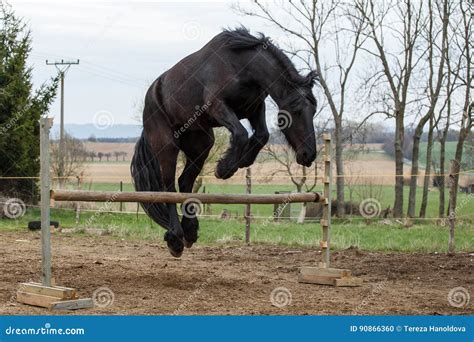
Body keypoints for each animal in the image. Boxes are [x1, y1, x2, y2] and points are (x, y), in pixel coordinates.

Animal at [131, 28, 316, 256]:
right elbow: (241, 133)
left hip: (201, 145)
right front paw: (224, 168)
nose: (309, 154)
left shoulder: (254, 107)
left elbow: (262, 135)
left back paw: (190, 230)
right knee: (169, 187)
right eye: (297, 111)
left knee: (185, 182)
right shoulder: (217, 106)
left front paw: (243, 160)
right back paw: (175, 238)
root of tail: (152, 96)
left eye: (314, 110)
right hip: (167, 146)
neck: (242, 66)